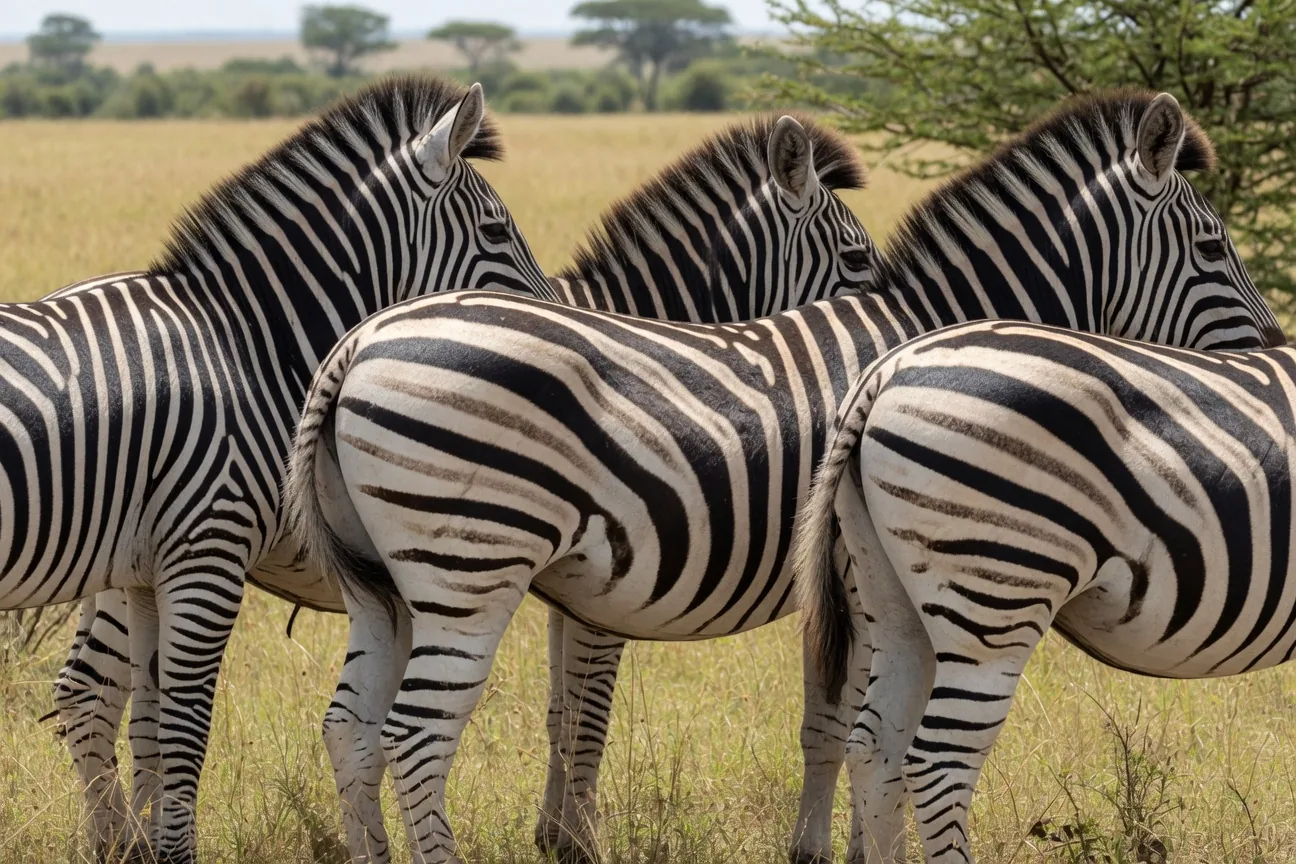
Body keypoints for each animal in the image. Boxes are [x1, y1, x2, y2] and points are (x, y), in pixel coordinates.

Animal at [8, 76, 553, 864]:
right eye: (494, 232)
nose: (548, 330)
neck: (247, 346)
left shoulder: (150, 567)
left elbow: (153, 726)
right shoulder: (206, 551)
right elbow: (185, 730)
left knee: (89, 693)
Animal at [55, 112, 879, 864]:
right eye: (855, 256)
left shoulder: (574, 581)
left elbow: (561, 709)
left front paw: (556, 832)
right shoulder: (607, 576)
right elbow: (589, 712)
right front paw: (579, 839)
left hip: (127, 559)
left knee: (93, 694)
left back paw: (123, 836)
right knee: (95, 694)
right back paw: (123, 840)